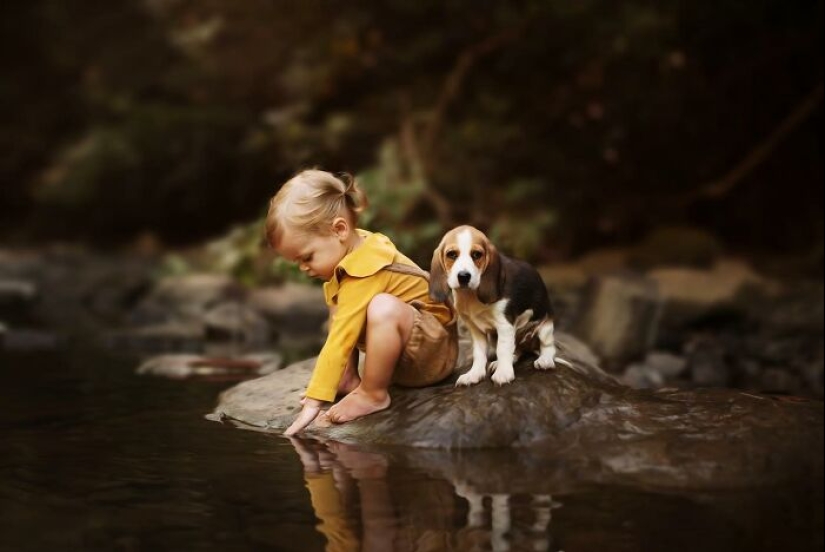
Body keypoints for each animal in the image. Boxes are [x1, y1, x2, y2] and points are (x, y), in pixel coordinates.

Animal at [432, 226, 568, 386]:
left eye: (476, 255)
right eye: (451, 254)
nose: (464, 276)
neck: (471, 295)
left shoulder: (504, 325)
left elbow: (502, 350)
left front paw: (503, 373)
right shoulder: (475, 329)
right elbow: (479, 354)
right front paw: (474, 374)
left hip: (545, 326)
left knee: (547, 346)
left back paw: (545, 360)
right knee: (516, 350)